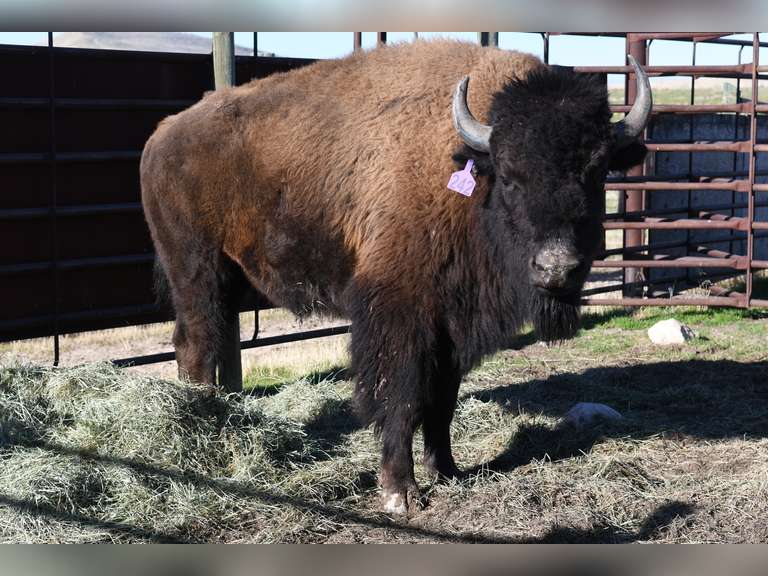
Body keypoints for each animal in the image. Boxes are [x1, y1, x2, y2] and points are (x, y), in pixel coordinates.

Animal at [140, 40, 651, 515]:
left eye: (597, 171)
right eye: (509, 175)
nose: (556, 267)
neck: (461, 170)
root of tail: (162, 136)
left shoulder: (452, 322)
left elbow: (442, 400)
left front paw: (447, 471)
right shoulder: (400, 314)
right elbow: (402, 397)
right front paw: (399, 492)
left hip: (224, 280)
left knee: (200, 342)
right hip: (198, 271)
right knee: (197, 345)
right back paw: (202, 434)